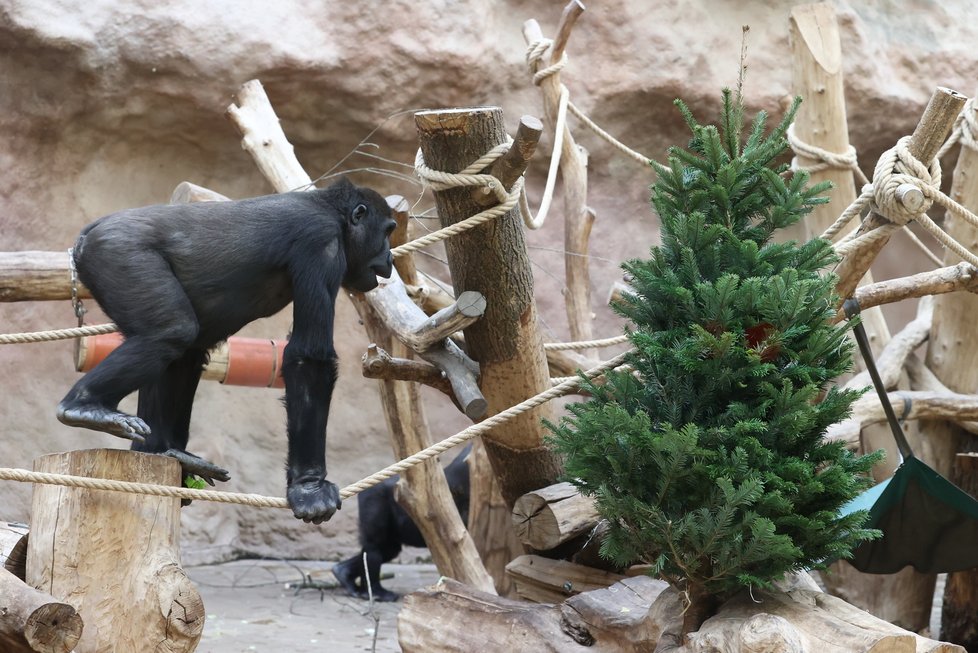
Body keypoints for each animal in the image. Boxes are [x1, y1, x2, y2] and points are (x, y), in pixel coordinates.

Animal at [55, 176, 392, 524]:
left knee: (176, 346)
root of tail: (85, 235)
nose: (390, 258)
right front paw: (310, 486)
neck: (333, 213)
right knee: (170, 331)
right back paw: (84, 406)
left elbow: (191, 354)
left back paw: (163, 451)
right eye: (387, 231)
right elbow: (309, 357)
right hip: (117, 254)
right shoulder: (322, 243)